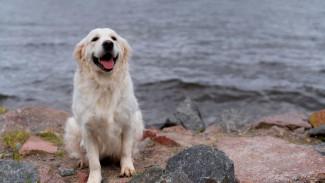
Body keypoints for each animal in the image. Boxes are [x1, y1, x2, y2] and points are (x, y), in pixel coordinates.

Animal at [63, 27, 143, 182]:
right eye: (94, 39)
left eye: (113, 38)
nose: (108, 44)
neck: (104, 84)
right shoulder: (88, 130)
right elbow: (94, 161)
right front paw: (94, 178)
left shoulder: (128, 122)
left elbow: (125, 150)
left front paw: (127, 168)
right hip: (72, 126)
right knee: (85, 155)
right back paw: (83, 161)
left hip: (138, 120)